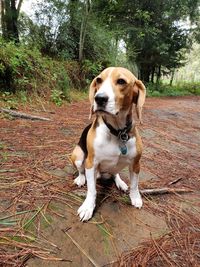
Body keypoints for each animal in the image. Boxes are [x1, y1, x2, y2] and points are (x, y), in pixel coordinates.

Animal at [71, 67, 145, 222]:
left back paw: (120, 183)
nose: (99, 98)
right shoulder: (91, 163)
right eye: (99, 80)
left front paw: (135, 198)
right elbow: (92, 190)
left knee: (115, 173)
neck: (117, 132)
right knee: (81, 170)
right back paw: (81, 178)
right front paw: (88, 207)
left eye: (121, 81)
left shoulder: (136, 164)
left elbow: (135, 185)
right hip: (78, 156)